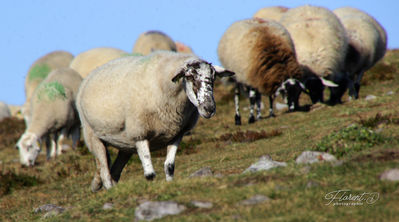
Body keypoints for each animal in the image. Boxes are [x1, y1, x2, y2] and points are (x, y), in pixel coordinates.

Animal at [76, 50, 234, 191]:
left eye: (213, 78)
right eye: (189, 77)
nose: (209, 108)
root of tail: (90, 76)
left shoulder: (176, 134)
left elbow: (169, 167)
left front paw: (170, 184)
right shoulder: (140, 132)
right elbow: (150, 174)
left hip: (125, 144)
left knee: (114, 172)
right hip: (93, 136)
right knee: (105, 172)